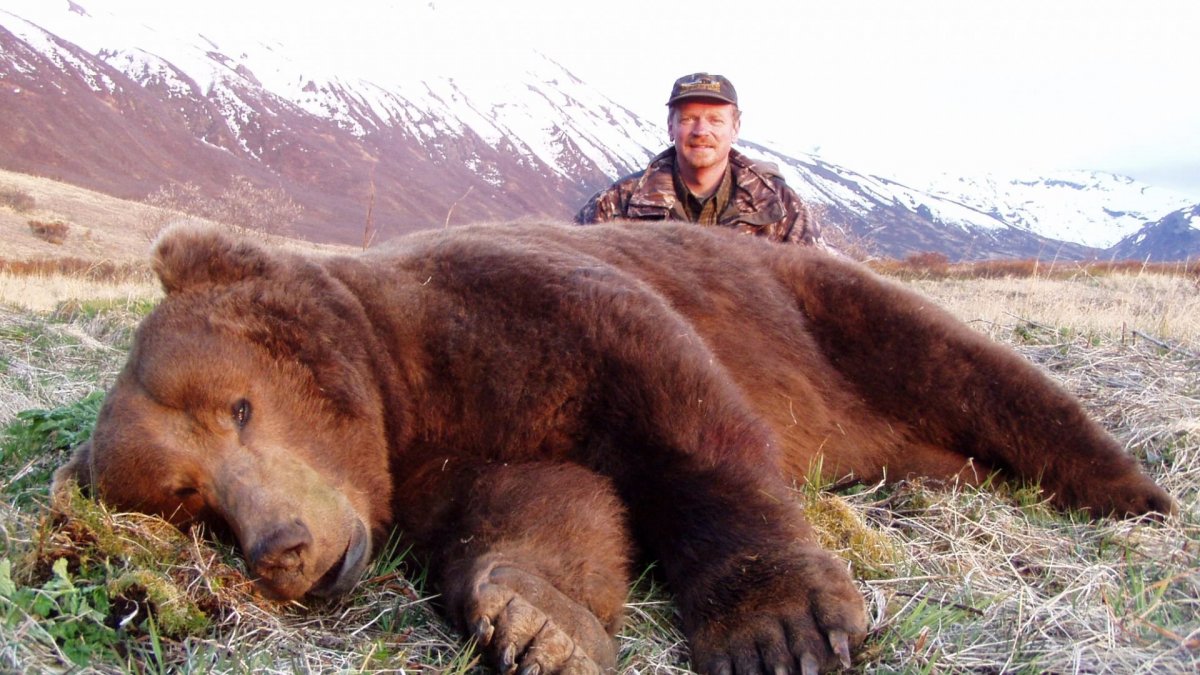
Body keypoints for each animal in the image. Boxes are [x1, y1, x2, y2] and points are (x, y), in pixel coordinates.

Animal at [52, 221, 1174, 675]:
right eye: (190, 496)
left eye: (240, 406)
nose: (279, 546)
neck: (407, 390)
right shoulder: (458, 453)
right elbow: (546, 510)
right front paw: (535, 623)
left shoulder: (529, 310)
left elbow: (685, 420)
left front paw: (776, 625)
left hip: (827, 303)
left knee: (972, 368)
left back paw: (1133, 492)